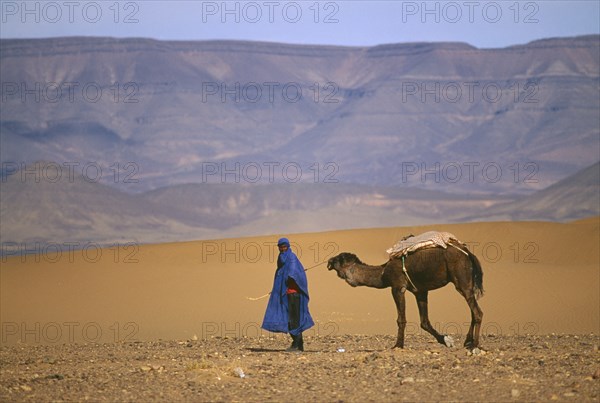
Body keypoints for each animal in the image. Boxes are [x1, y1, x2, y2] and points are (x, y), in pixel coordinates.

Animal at [326, 243, 486, 350]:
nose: (329, 261)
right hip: (467, 283)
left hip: (461, 279)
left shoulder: (397, 287)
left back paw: (475, 345)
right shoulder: (420, 291)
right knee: (473, 310)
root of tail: (469, 254)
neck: (383, 273)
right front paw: (446, 340)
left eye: (338, 259)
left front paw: (398, 345)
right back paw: (468, 342)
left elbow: (401, 319)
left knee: (477, 312)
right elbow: (424, 322)